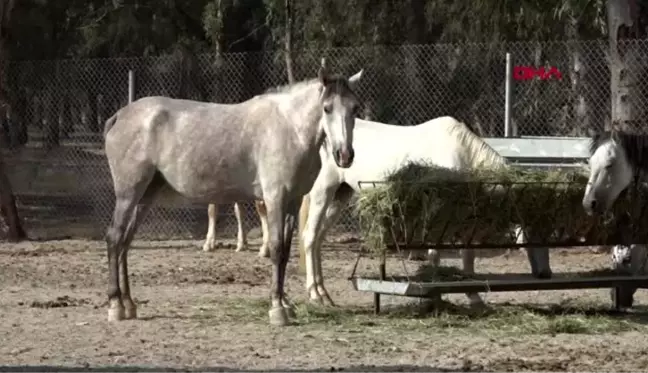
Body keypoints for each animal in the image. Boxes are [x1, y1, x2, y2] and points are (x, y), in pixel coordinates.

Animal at [296, 116, 548, 306]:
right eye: (530, 231)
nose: (545, 274)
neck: (460, 153)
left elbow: (467, 256)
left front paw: (474, 297)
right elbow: (436, 254)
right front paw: (435, 294)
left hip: (340, 195)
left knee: (317, 240)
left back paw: (322, 293)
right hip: (323, 192)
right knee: (310, 237)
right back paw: (317, 295)